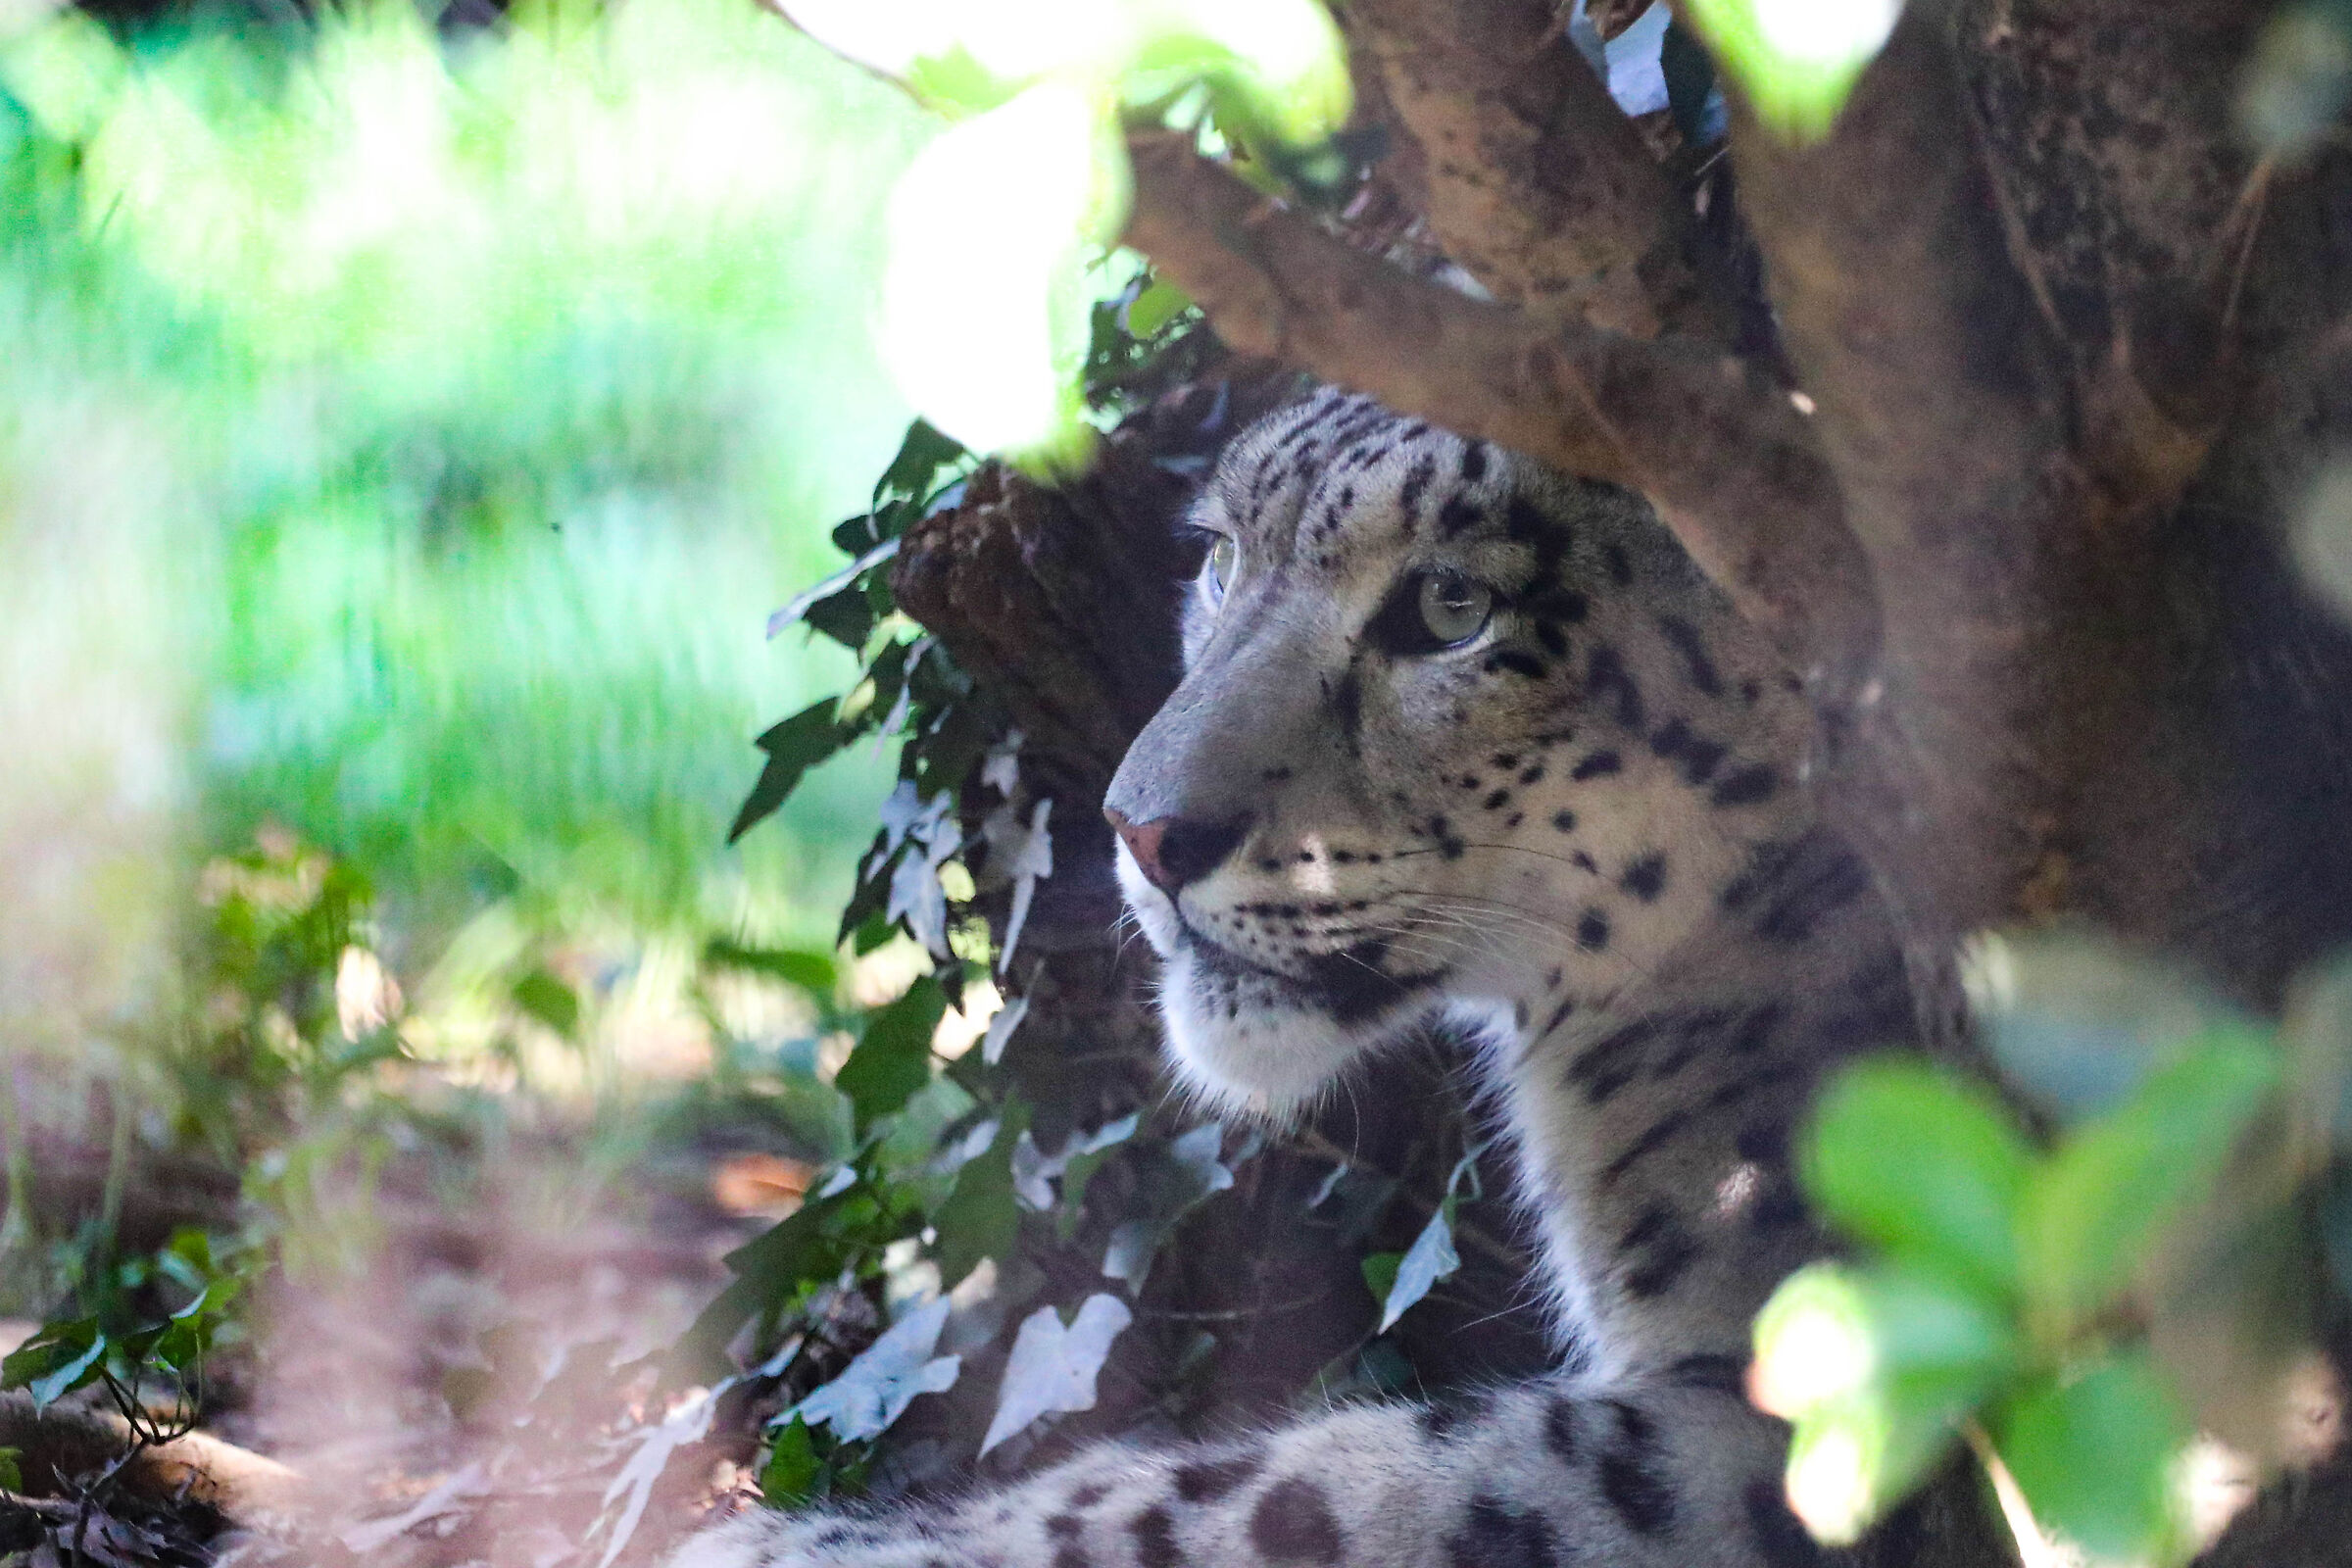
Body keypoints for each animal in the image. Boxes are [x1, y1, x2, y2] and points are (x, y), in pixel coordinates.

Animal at [674, 386, 1962, 1568]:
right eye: (1221, 555)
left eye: (1455, 605)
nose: (1141, 830)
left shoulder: (1825, 1404)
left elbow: (1328, 1488)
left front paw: (796, 1543)